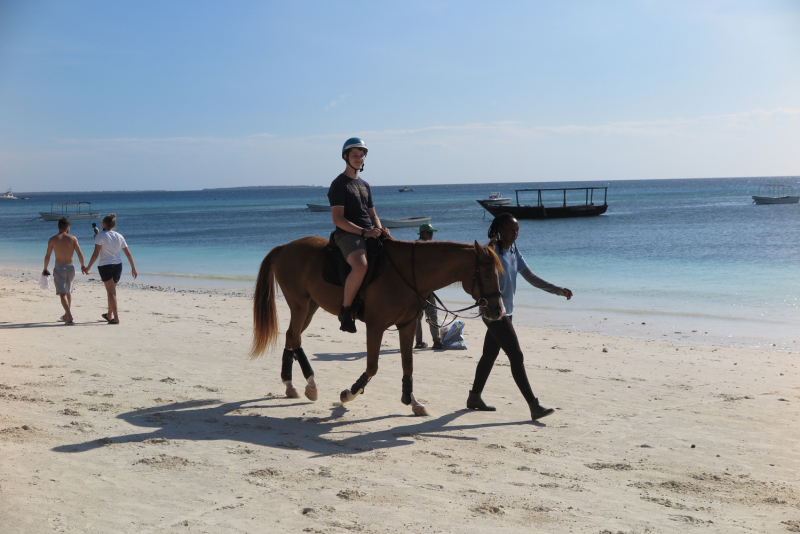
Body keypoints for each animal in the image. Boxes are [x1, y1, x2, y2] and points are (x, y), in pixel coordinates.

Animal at [250, 237, 504, 416]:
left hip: (310, 307)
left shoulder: (407, 325)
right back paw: (310, 385)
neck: (407, 273)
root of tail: (285, 247)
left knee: (291, 337)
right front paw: (349, 394)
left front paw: (412, 401)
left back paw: (291, 385)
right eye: (487, 275)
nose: (499, 311)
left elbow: (408, 365)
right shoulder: (375, 326)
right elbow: (372, 367)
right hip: (300, 305)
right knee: (294, 337)